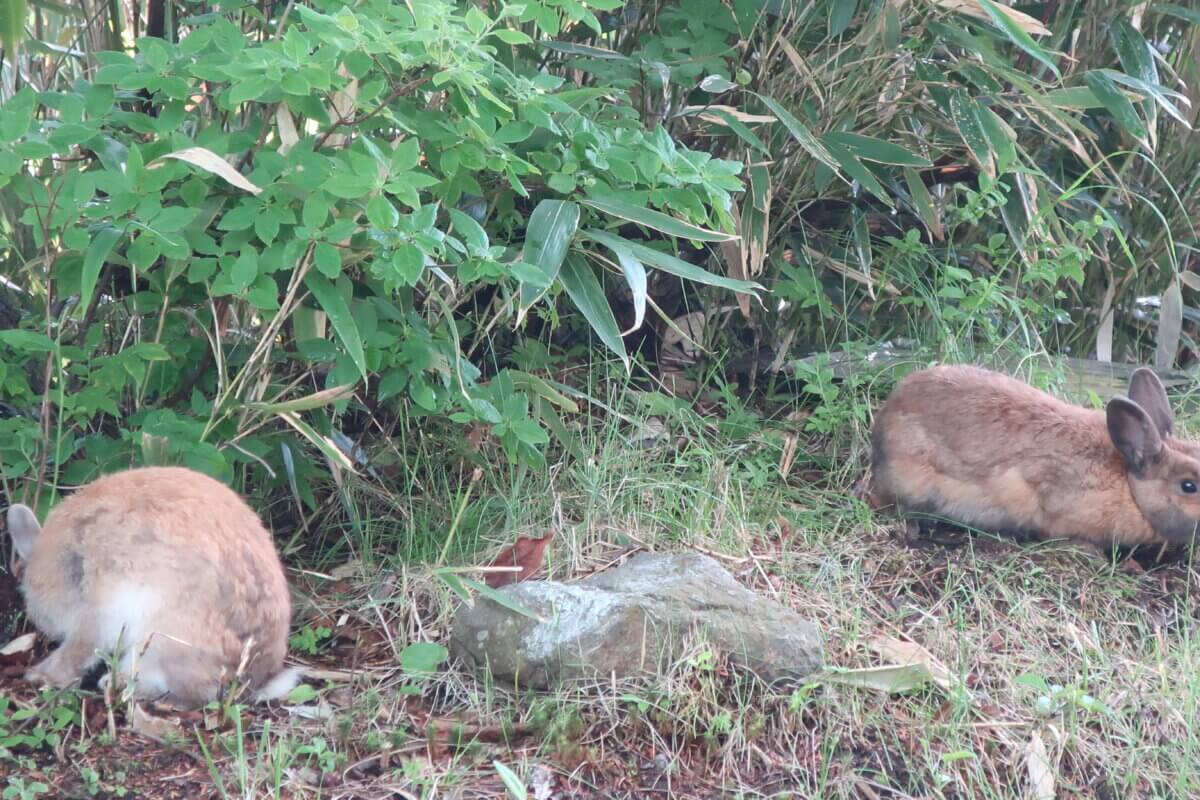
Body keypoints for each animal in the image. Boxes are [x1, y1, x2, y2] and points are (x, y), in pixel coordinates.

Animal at [7, 465, 297, 710]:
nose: (46, 626)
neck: (67, 561)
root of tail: (251, 680)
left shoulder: (97, 612)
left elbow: (79, 649)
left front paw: (40, 676)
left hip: (159, 644)